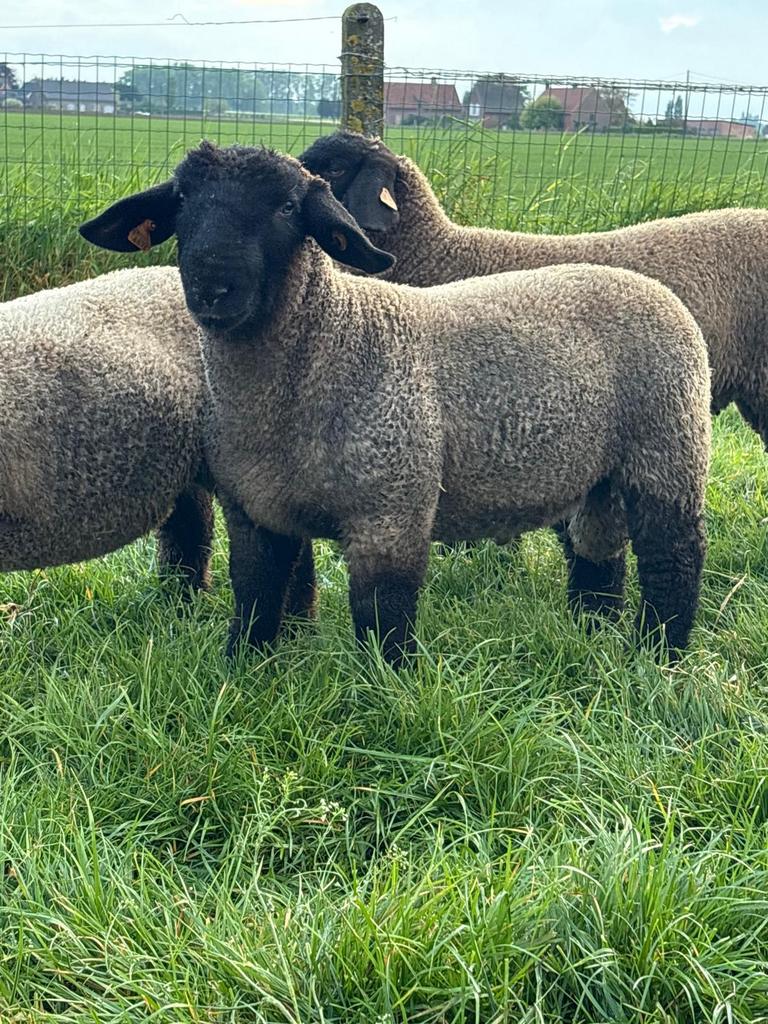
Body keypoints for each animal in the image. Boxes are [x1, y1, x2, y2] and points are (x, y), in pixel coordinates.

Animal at [79, 142, 711, 667]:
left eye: (287, 207)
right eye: (183, 201)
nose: (212, 288)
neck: (329, 341)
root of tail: (649, 287)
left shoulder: (392, 509)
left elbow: (382, 616)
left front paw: (386, 691)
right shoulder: (254, 508)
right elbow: (255, 595)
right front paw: (243, 672)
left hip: (669, 443)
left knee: (673, 557)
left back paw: (658, 656)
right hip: (599, 470)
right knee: (599, 550)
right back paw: (592, 629)